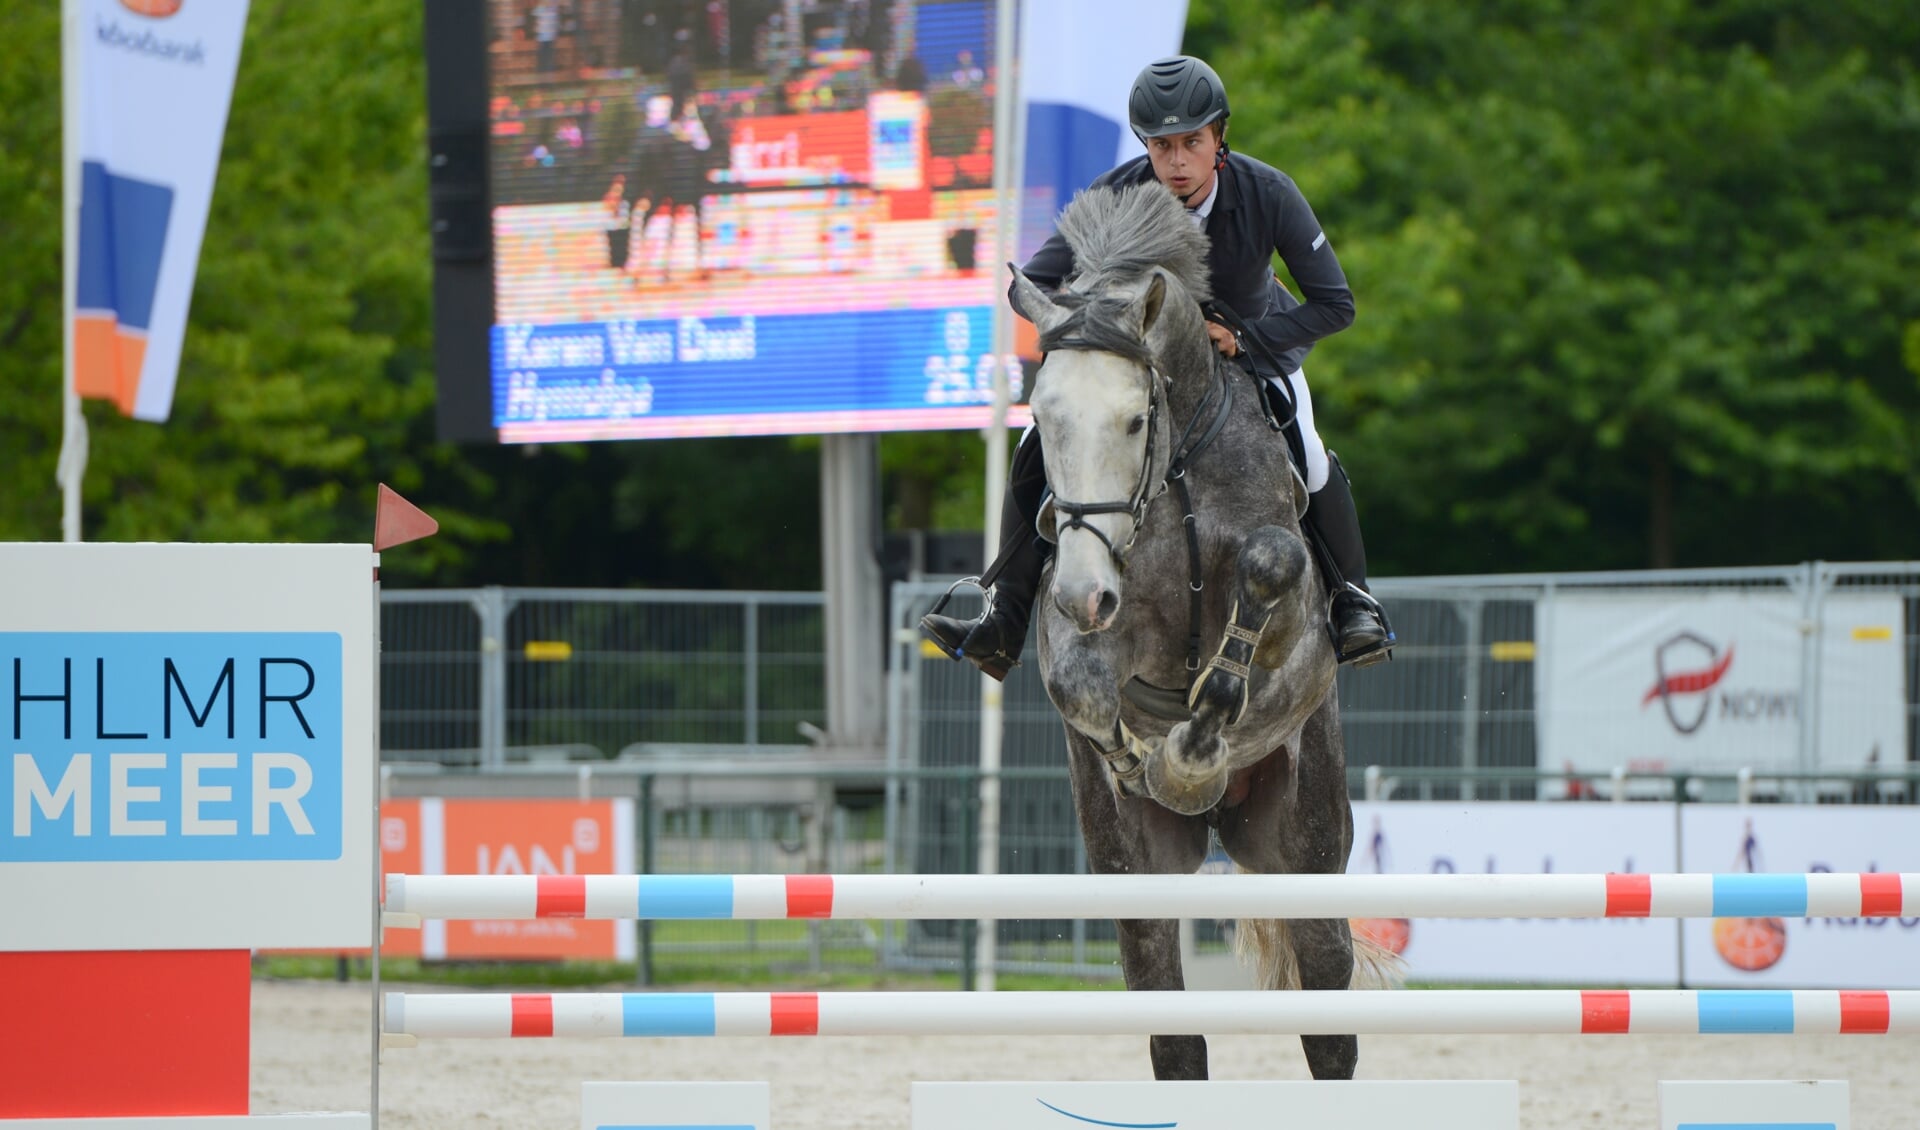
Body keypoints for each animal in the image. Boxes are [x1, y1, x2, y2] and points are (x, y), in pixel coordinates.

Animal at [1013, 183, 1390, 1074]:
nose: (1082, 595)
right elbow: (1080, 686)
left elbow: (1266, 573)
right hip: (1138, 877)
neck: (1177, 466)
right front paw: (1145, 762)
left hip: (1306, 847)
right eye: (1042, 418)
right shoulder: (1082, 614)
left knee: (1327, 1004)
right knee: (1170, 1020)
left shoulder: (1288, 619)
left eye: (1133, 420)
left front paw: (1190, 758)